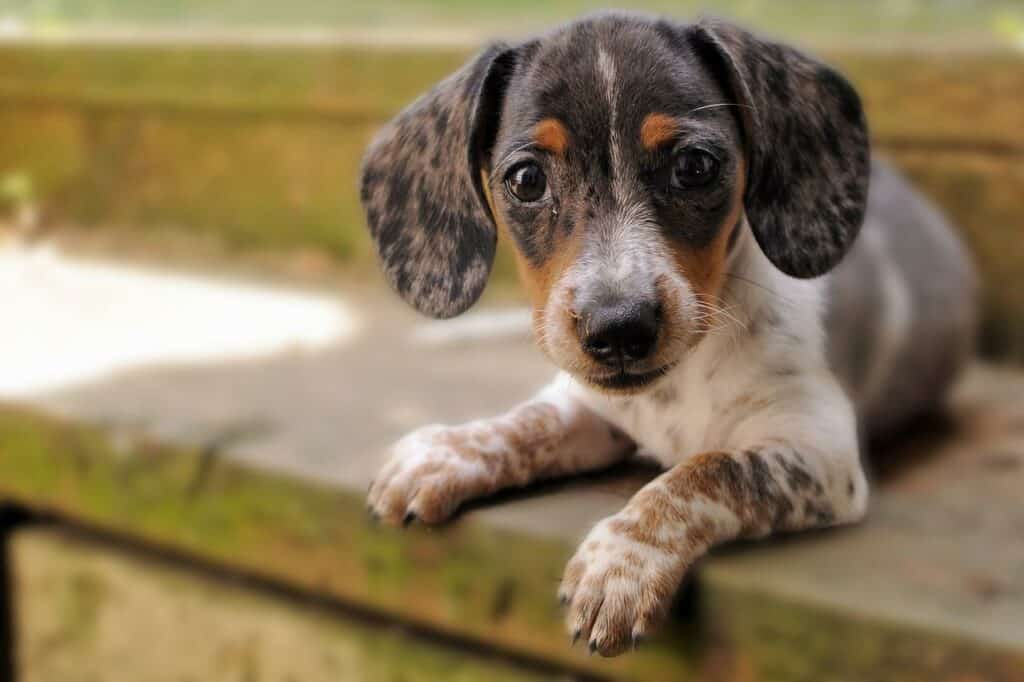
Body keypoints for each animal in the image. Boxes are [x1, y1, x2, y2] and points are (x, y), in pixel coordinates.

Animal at [360, 13, 974, 655]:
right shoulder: (589, 408)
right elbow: (526, 423)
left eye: (695, 166)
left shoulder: (818, 448)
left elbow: (708, 471)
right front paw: (444, 452)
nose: (618, 329)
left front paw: (621, 563)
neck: (679, 384)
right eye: (526, 179)